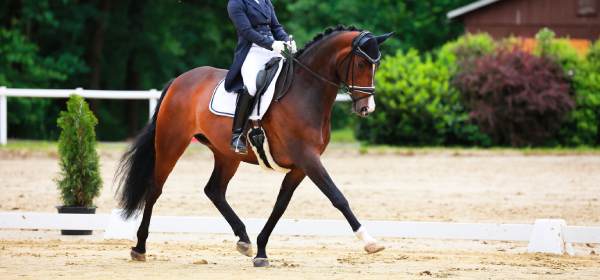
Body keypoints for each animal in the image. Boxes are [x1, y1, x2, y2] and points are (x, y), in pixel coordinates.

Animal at [116, 26, 394, 266]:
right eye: (361, 63)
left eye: (377, 65)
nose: (366, 108)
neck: (305, 91)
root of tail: (179, 80)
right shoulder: (308, 158)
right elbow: (337, 197)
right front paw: (370, 242)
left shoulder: (300, 166)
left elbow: (281, 205)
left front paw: (261, 250)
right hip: (171, 143)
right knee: (155, 189)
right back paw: (139, 247)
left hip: (226, 154)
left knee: (214, 190)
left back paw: (244, 240)